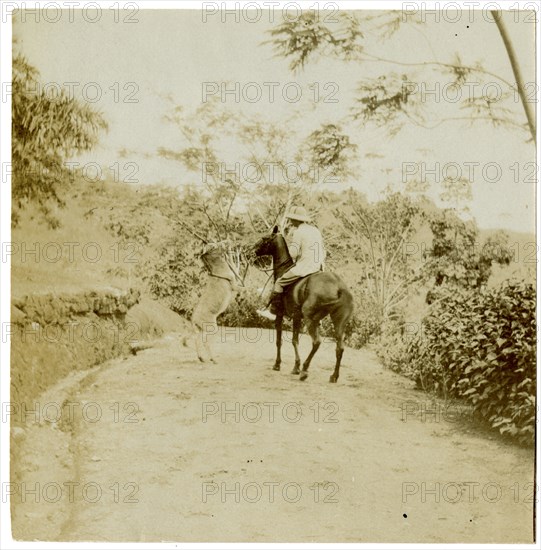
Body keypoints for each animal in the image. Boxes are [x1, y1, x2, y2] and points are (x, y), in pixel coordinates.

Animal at [254, 226, 354, 382]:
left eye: (265, 238)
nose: (254, 250)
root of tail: (339, 286)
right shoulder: (297, 318)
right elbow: (295, 340)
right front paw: (296, 366)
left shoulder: (280, 315)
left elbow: (280, 341)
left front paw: (279, 364)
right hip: (338, 322)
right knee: (340, 347)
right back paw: (334, 376)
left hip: (310, 319)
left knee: (317, 342)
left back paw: (305, 370)